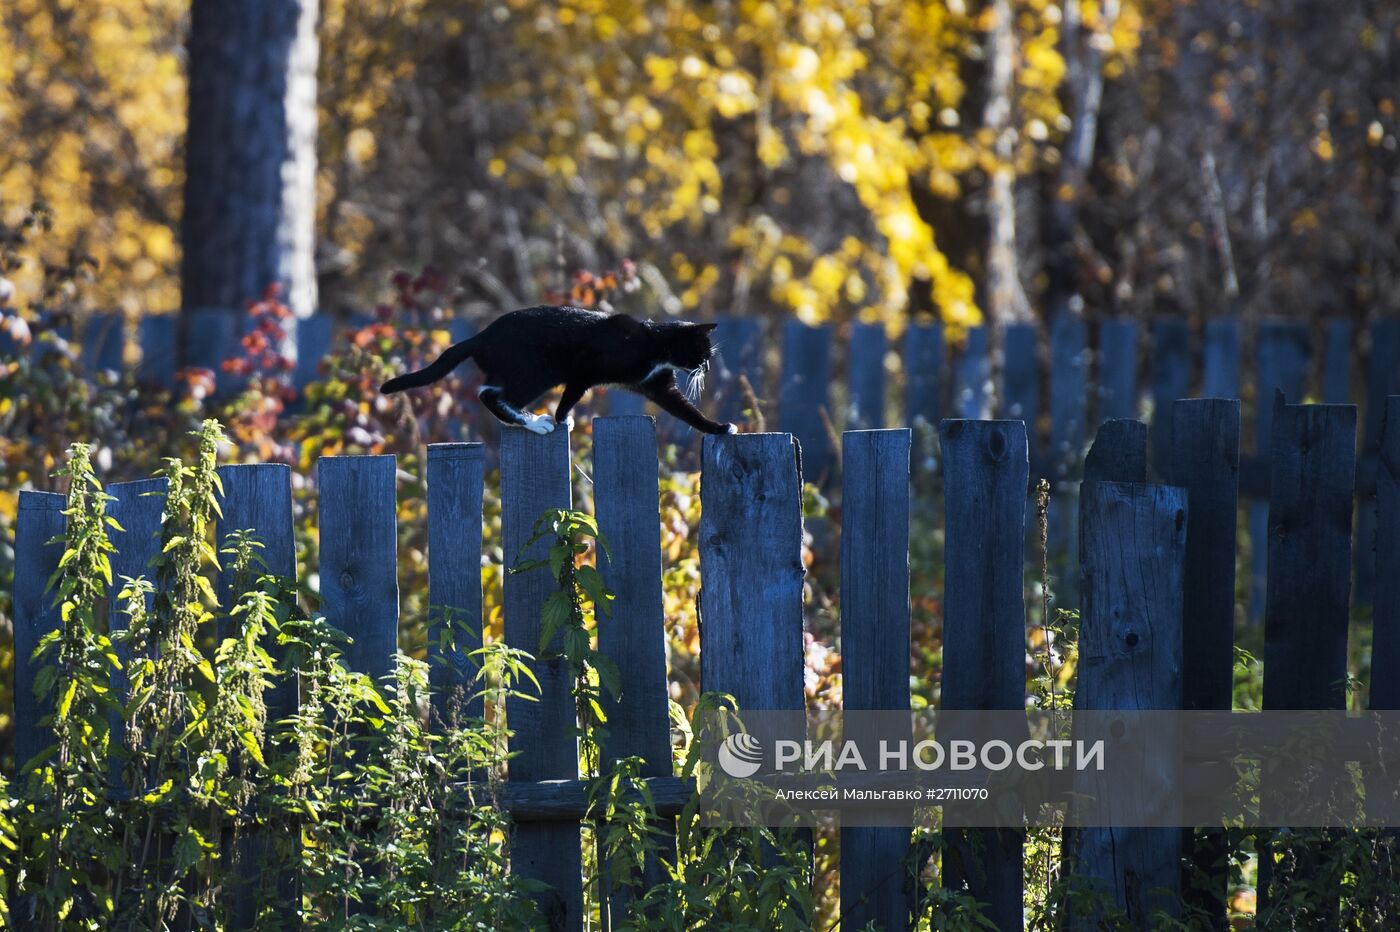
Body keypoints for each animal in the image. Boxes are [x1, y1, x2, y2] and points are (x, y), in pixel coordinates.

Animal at [378, 306, 739, 433]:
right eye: (703, 352)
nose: (708, 366)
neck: (654, 344)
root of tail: (480, 336)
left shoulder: (658, 385)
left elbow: (688, 413)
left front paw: (719, 428)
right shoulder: (585, 369)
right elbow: (571, 395)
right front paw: (562, 419)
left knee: (490, 391)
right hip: (536, 371)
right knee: (489, 394)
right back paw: (535, 423)